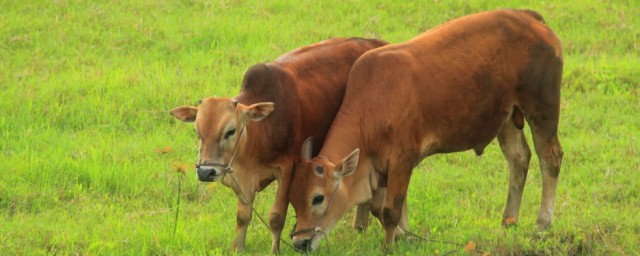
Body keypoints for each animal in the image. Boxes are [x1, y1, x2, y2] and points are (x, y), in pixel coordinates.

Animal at [170, 37, 388, 253]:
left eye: (230, 131)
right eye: (197, 132)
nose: (206, 172)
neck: (260, 133)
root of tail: (377, 42)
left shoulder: (286, 170)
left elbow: (276, 217)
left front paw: (275, 251)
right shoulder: (241, 179)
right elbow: (243, 216)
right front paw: (237, 248)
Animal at [288, 9, 564, 251]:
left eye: (318, 198)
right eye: (292, 200)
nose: (300, 243)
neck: (372, 106)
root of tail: (529, 17)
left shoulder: (402, 160)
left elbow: (390, 211)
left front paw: (389, 245)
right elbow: (378, 207)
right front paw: (405, 236)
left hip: (542, 108)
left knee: (550, 159)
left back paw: (542, 224)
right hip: (506, 118)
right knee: (519, 158)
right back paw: (509, 220)